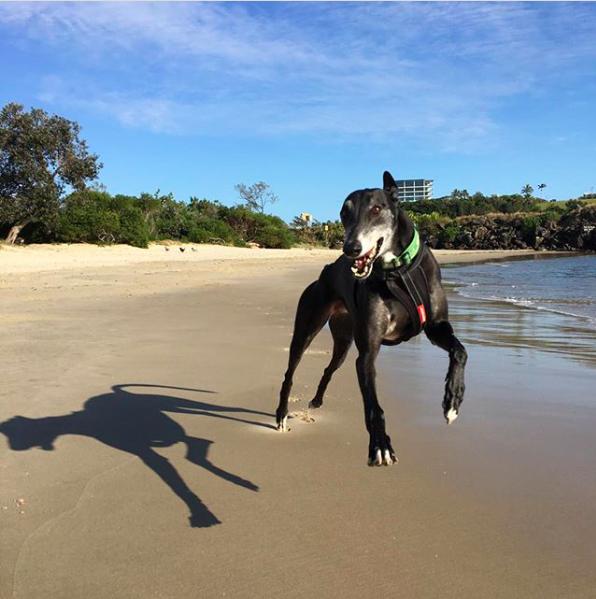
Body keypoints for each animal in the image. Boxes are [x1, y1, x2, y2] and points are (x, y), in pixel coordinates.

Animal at [278, 171, 468, 466]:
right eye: (343, 213)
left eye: (376, 209)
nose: (350, 249)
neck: (399, 271)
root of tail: (325, 271)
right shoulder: (368, 353)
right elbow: (373, 406)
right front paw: (380, 445)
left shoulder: (436, 327)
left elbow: (460, 351)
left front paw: (452, 402)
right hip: (307, 328)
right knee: (289, 372)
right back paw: (281, 415)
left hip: (343, 341)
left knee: (329, 368)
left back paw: (317, 401)